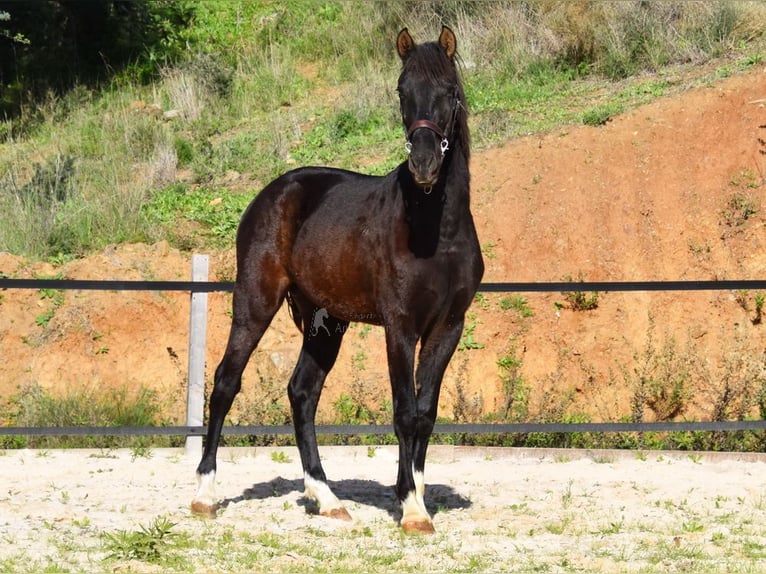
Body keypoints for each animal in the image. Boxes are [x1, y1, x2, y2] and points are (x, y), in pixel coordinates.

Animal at [190, 24, 486, 536]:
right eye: (401, 91)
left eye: (450, 91)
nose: (424, 165)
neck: (435, 231)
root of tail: (272, 192)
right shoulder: (400, 328)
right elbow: (404, 412)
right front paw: (410, 507)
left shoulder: (448, 327)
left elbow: (426, 412)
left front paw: (418, 498)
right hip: (256, 299)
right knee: (227, 381)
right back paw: (206, 494)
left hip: (325, 322)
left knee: (302, 393)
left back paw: (327, 498)